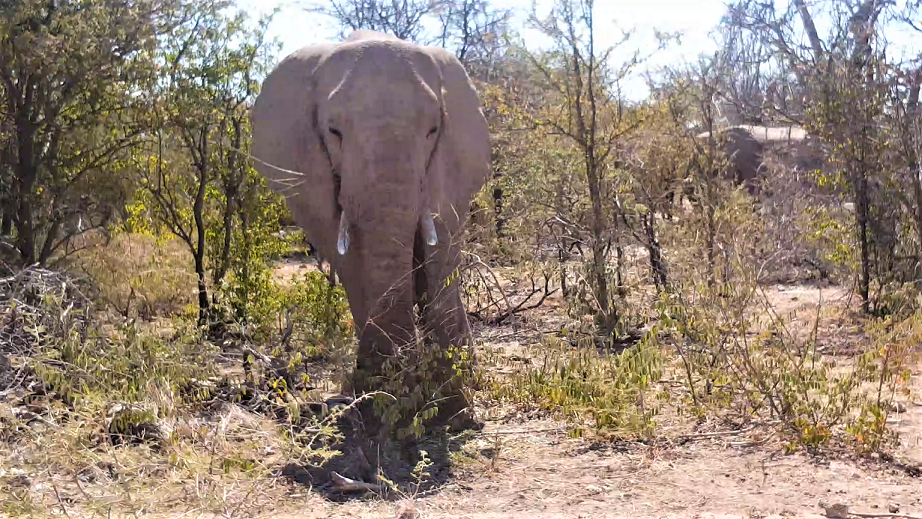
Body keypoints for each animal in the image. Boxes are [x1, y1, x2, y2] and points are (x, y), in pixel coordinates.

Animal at [244, 30, 488, 432]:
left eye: (433, 130)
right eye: (334, 131)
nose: (407, 379)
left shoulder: (453, 163)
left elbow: (441, 243)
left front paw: (454, 400)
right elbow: (345, 254)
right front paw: (377, 392)